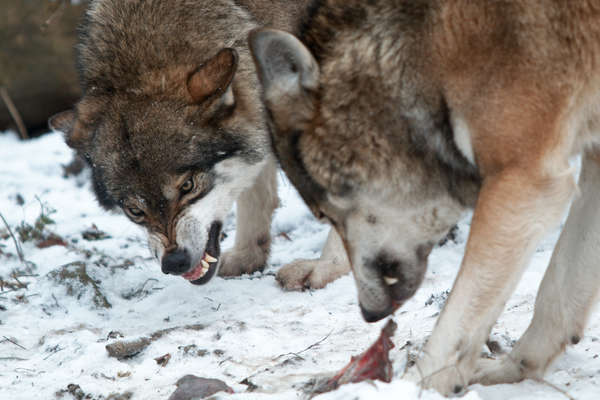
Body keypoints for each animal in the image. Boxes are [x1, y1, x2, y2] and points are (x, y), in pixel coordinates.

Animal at [50, 0, 352, 290]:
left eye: (188, 186)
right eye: (135, 210)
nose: (175, 263)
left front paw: (327, 267)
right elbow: (254, 193)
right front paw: (247, 256)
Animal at [251, 0, 600, 394]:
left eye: (326, 214)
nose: (369, 314)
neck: (433, 51)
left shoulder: (525, 183)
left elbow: (455, 324)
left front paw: (418, 386)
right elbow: (558, 292)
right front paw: (513, 370)